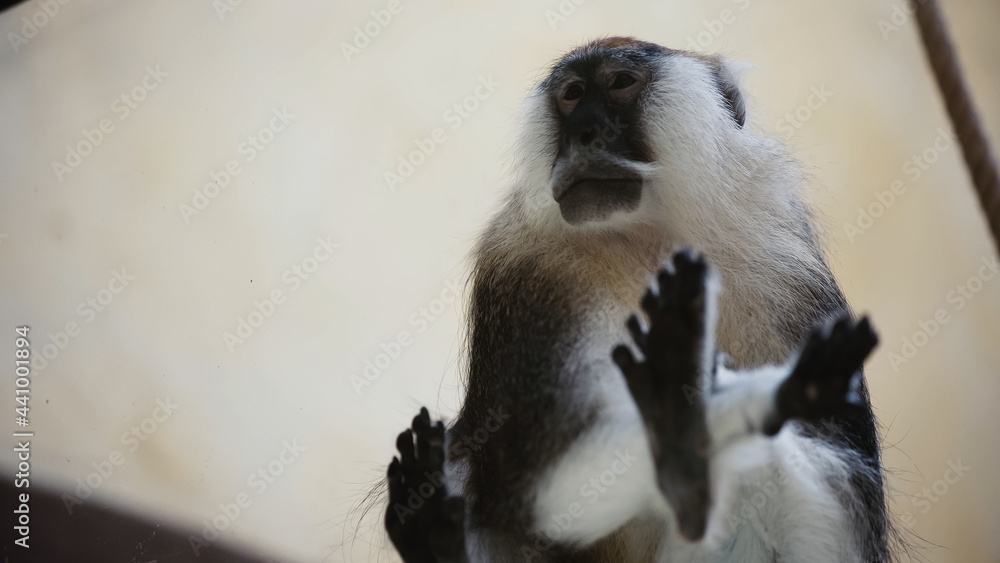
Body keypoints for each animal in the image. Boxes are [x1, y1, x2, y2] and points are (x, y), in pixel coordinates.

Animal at [383, 37, 893, 563]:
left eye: (620, 83)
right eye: (571, 94)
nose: (584, 131)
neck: (647, 238)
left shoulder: (786, 267)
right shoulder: (530, 271)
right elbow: (545, 490)